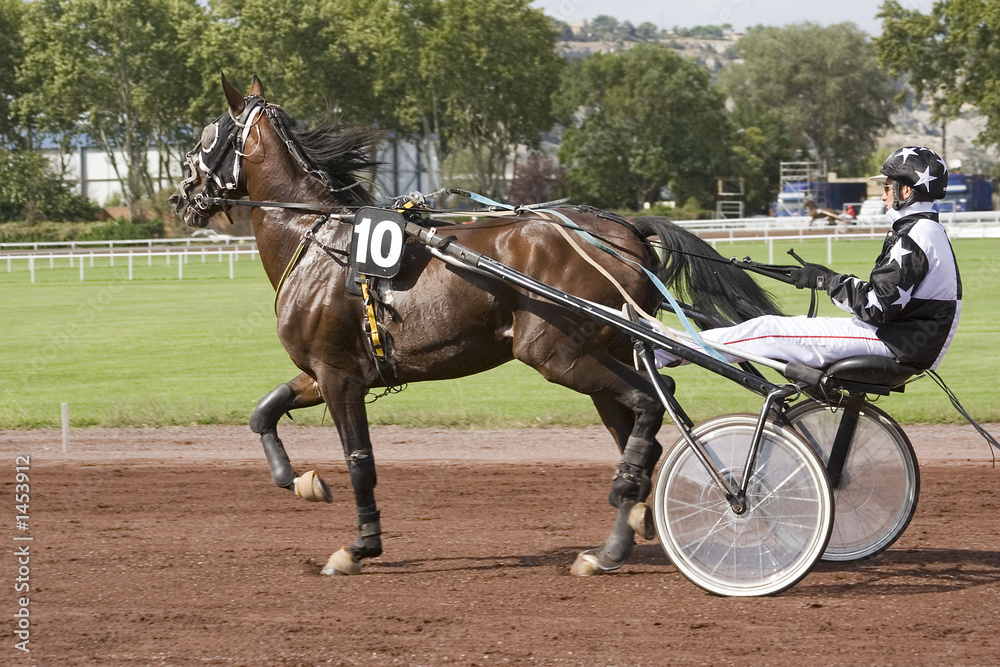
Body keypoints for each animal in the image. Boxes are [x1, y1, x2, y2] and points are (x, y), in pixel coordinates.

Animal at [170, 75, 780, 580]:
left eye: (204, 137)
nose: (181, 198)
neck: (320, 240)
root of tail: (624, 231)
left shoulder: (340, 375)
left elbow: (360, 462)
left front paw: (359, 546)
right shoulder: (325, 371)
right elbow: (263, 411)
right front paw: (298, 480)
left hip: (556, 353)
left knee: (652, 403)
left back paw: (642, 519)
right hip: (600, 350)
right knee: (639, 420)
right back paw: (620, 535)